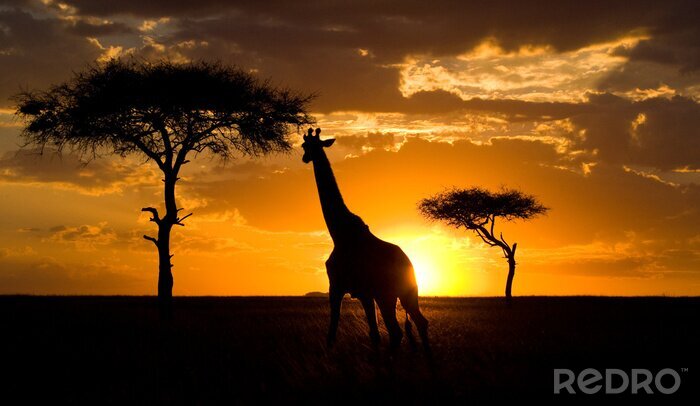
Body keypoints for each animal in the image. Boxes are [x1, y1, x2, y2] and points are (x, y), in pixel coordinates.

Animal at [301, 128, 429, 350]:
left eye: (308, 146)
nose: (305, 158)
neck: (339, 233)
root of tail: (408, 262)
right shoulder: (364, 293)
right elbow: (374, 334)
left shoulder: (337, 286)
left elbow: (332, 332)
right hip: (407, 292)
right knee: (419, 323)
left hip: (386, 294)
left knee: (397, 331)